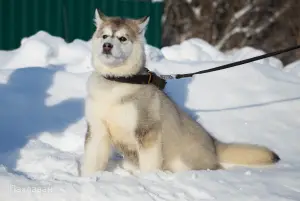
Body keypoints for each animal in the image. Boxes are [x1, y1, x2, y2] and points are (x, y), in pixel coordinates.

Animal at [80, 9, 282, 176]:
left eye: (122, 38)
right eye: (105, 36)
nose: (107, 45)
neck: (115, 82)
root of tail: (213, 143)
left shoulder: (147, 132)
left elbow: (149, 166)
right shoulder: (97, 129)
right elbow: (91, 162)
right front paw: (87, 179)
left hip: (183, 162)